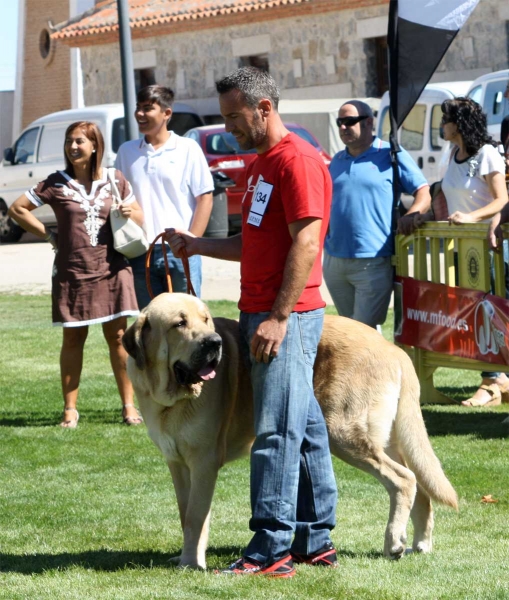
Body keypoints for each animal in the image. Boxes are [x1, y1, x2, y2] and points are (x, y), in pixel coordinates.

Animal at [123, 292, 456, 568]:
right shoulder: (177, 463)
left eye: (205, 320)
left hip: (344, 434)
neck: (170, 399)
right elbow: (185, 513)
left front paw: (192, 563)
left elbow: (195, 516)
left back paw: (393, 543)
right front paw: (186, 555)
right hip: (381, 439)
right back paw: (419, 544)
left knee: (404, 479)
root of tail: (394, 350)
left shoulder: (204, 462)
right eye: (179, 323)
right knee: (418, 484)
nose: (214, 343)